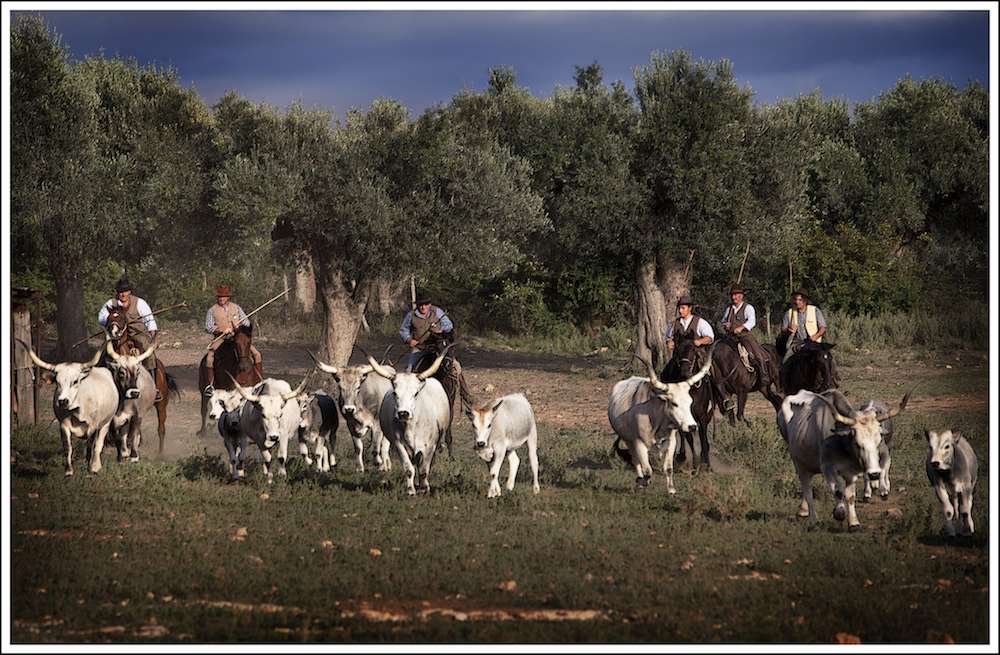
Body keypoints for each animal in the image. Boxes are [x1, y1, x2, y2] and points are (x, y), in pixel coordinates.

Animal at [103, 308, 180, 456]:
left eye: (122, 318)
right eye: (109, 318)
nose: (114, 332)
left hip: (161, 405)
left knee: (161, 428)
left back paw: (160, 453)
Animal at [370, 352, 452, 494]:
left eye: (415, 393)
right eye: (395, 393)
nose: (403, 413)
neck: (410, 427)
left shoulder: (430, 446)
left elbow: (424, 469)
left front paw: (424, 488)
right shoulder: (398, 444)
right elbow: (408, 469)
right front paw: (410, 489)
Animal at [776, 386, 912, 532]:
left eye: (879, 441)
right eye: (857, 443)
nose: (875, 473)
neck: (840, 441)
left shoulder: (851, 473)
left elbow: (850, 496)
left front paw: (853, 522)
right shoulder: (827, 468)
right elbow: (838, 492)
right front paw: (839, 513)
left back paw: (803, 509)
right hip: (799, 463)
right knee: (807, 488)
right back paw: (813, 517)